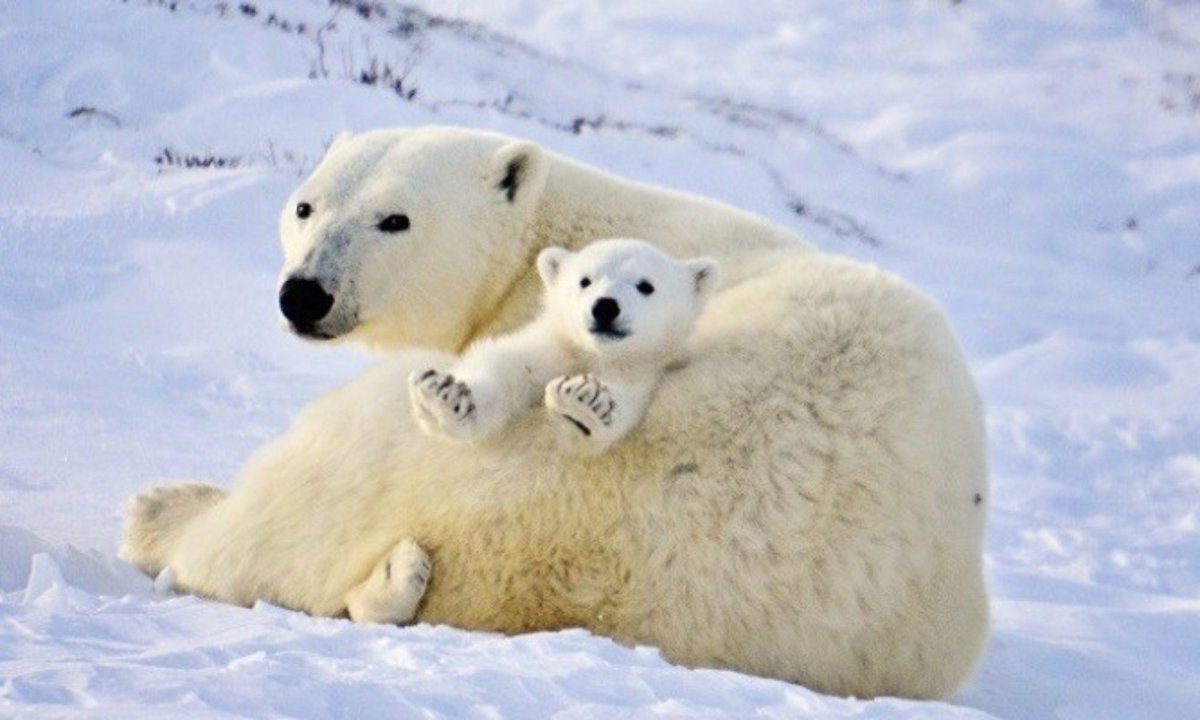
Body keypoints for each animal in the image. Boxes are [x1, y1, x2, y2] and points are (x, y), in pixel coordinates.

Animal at [409, 238, 719, 454]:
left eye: (645, 285)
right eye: (585, 280)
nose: (605, 306)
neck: (590, 352)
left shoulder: (639, 368)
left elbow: (622, 401)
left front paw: (582, 403)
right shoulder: (549, 348)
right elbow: (504, 367)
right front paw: (444, 395)